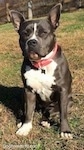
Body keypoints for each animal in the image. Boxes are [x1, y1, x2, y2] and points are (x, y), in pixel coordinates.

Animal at [9, 3, 73, 139]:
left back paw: (46, 120)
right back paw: (21, 121)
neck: (41, 64)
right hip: (23, 96)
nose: (32, 41)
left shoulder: (63, 91)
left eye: (44, 33)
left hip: (69, 100)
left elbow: (63, 114)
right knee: (25, 110)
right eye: (25, 33)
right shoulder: (29, 91)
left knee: (51, 111)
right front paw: (25, 128)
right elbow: (29, 112)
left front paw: (65, 131)